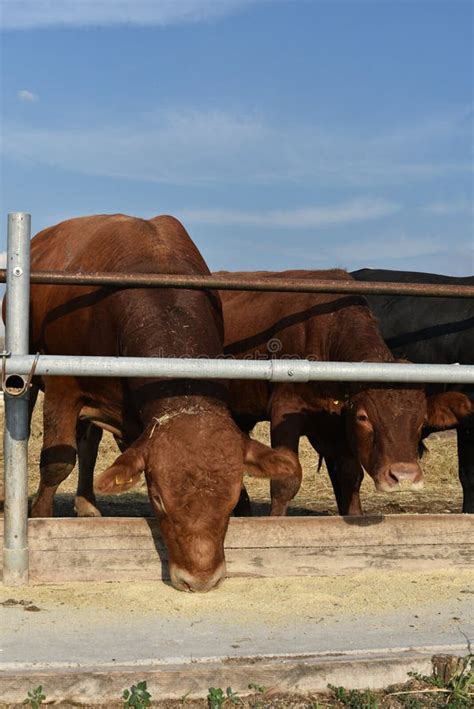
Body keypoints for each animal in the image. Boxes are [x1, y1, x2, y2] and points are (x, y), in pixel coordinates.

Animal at [25, 213, 300, 588]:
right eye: (158, 499)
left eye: (230, 502)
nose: (200, 580)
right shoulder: (62, 385)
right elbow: (56, 463)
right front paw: (39, 519)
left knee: (89, 444)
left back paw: (87, 504)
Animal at [220, 270, 472, 516]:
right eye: (363, 417)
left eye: (421, 421)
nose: (403, 477)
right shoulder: (285, 410)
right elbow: (286, 482)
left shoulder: (337, 424)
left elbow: (350, 477)